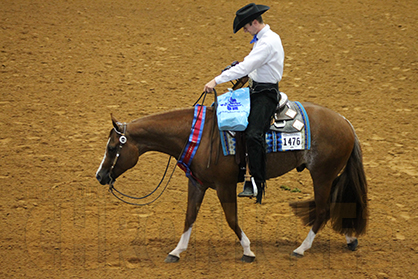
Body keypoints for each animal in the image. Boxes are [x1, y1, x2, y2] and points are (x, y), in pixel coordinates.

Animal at [96, 101, 368, 264]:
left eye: (112, 148)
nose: (100, 176)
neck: (200, 136)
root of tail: (346, 123)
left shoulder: (224, 185)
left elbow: (231, 219)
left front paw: (248, 250)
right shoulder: (198, 183)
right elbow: (189, 216)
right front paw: (176, 251)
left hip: (322, 175)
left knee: (323, 211)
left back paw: (301, 249)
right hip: (330, 176)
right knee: (338, 206)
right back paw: (350, 239)